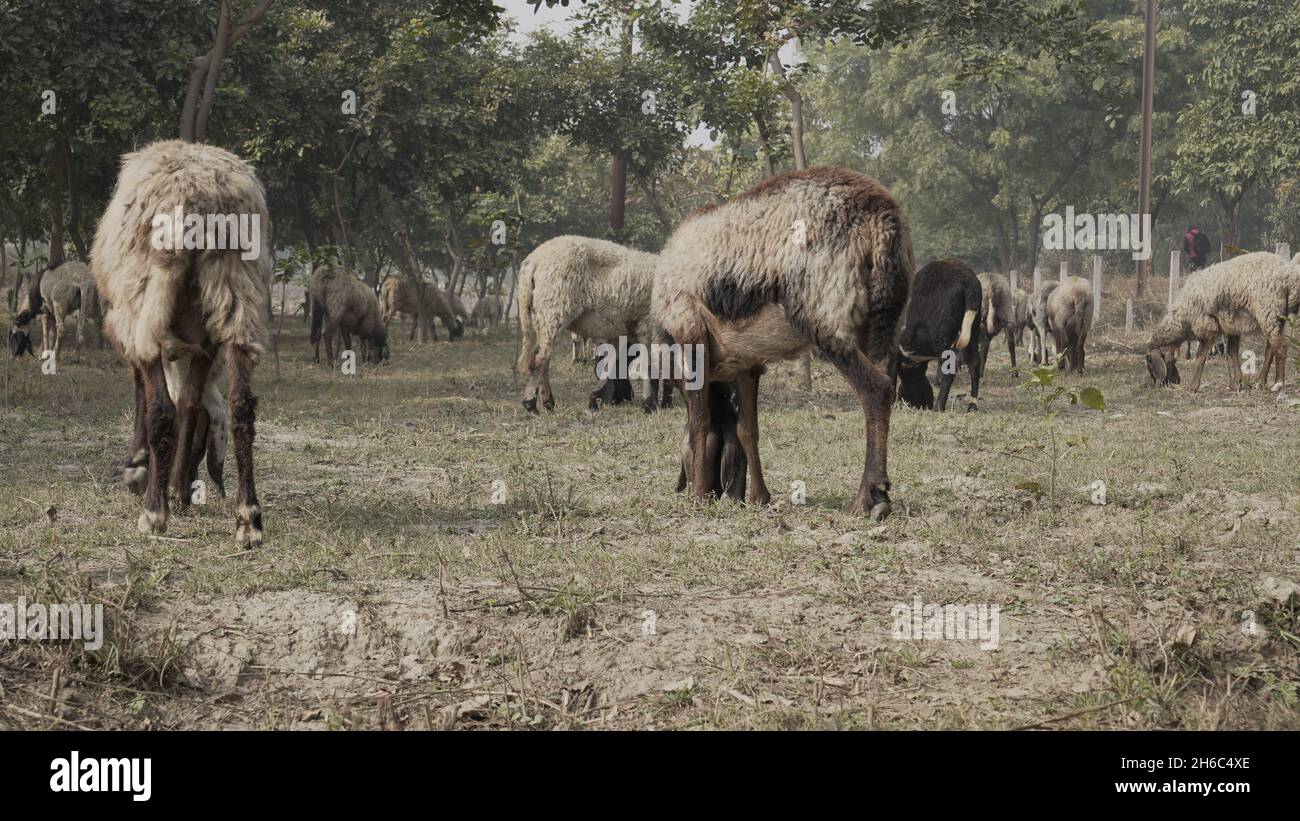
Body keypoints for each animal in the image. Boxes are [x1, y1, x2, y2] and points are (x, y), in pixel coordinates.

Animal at [92, 139, 271, 545]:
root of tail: (202, 197)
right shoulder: (204, 342)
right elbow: (189, 402)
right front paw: (176, 486)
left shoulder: (131, 323)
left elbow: (151, 396)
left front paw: (140, 467)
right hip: (234, 290)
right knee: (241, 405)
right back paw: (248, 517)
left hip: (147, 294)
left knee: (161, 409)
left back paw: (154, 512)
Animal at [650, 164, 915, 519]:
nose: (713, 491)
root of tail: (883, 216)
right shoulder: (746, 364)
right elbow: (748, 429)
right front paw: (759, 497)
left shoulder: (691, 338)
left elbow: (699, 425)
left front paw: (698, 496)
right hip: (883, 324)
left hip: (827, 318)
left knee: (876, 389)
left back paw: (868, 498)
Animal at [1149, 250, 1300, 392]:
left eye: (1149, 363)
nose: (1175, 381)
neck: (1182, 319)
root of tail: (1288, 274)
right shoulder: (1233, 327)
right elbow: (1232, 352)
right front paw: (1236, 383)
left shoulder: (1206, 326)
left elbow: (1200, 356)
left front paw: (1193, 386)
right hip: (1277, 317)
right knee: (1270, 348)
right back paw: (1260, 382)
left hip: (1268, 311)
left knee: (1280, 347)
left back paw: (1278, 383)